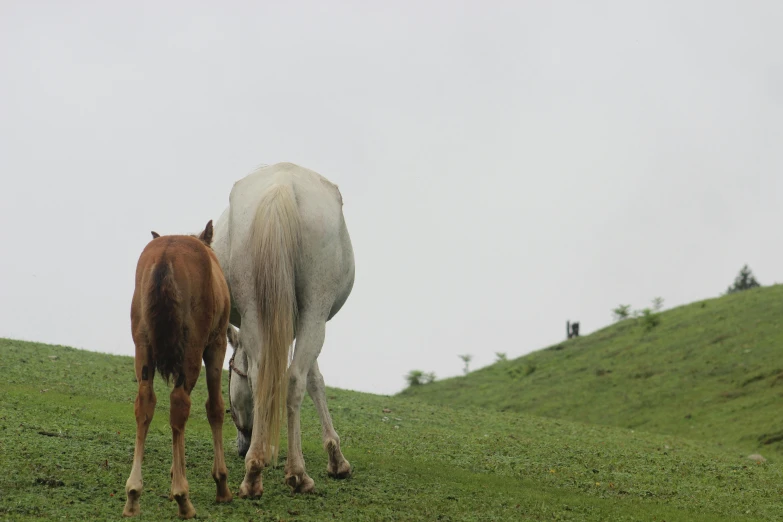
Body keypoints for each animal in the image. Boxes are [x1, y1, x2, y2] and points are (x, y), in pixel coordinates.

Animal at [211, 161, 352, 496]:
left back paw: (253, 473)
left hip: (254, 309)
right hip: (315, 311)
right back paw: (297, 473)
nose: (241, 446)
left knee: (263, 376)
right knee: (295, 379)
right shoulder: (307, 321)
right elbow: (315, 380)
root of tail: (282, 185)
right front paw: (336, 459)